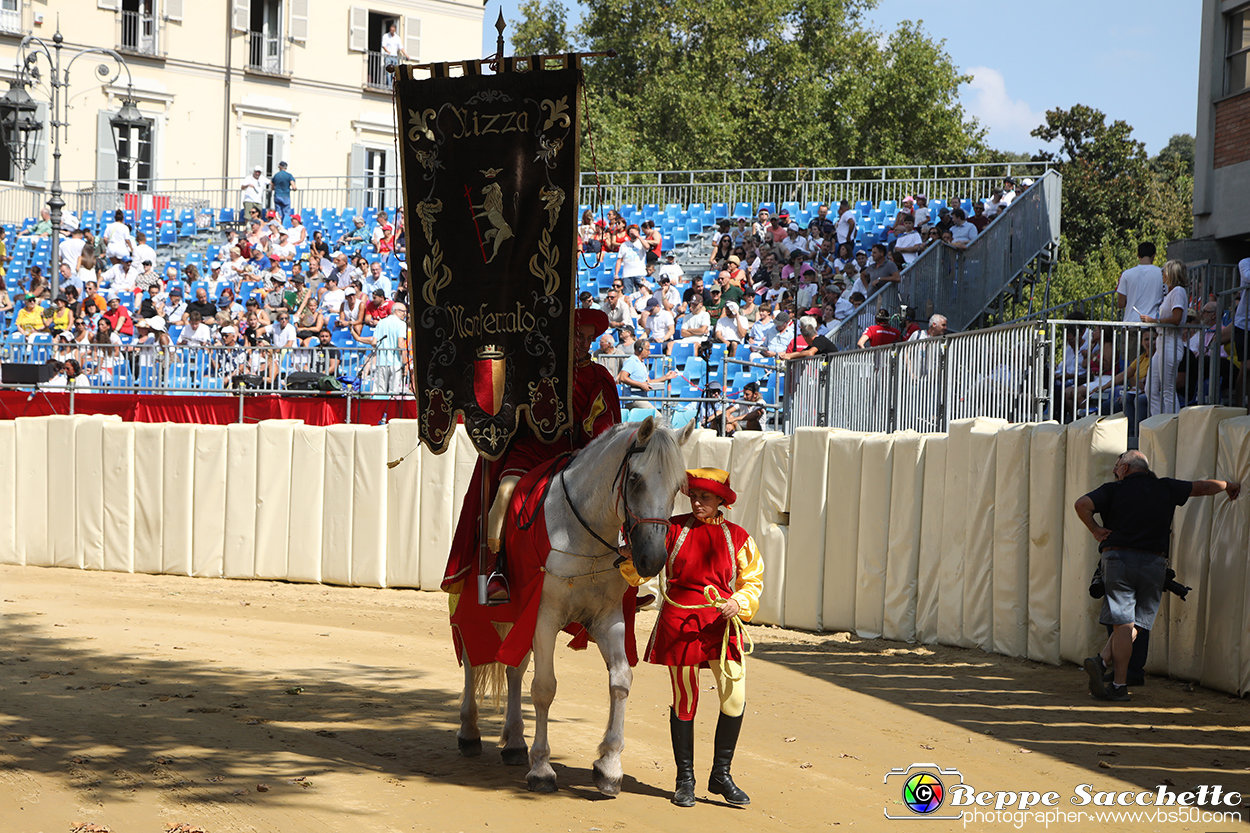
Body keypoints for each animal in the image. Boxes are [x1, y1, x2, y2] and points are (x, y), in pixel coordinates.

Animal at [457, 415, 695, 790]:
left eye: (677, 487)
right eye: (634, 478)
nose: (652, 559)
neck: (583, 531)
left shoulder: (608, 618)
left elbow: (621, 680)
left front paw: (609, 766)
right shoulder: (543, 616)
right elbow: (543, 687)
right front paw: (541, 768)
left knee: (514, 668)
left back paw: (514, 742)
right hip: (481, 605)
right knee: (472, 655)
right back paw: (469, 731)